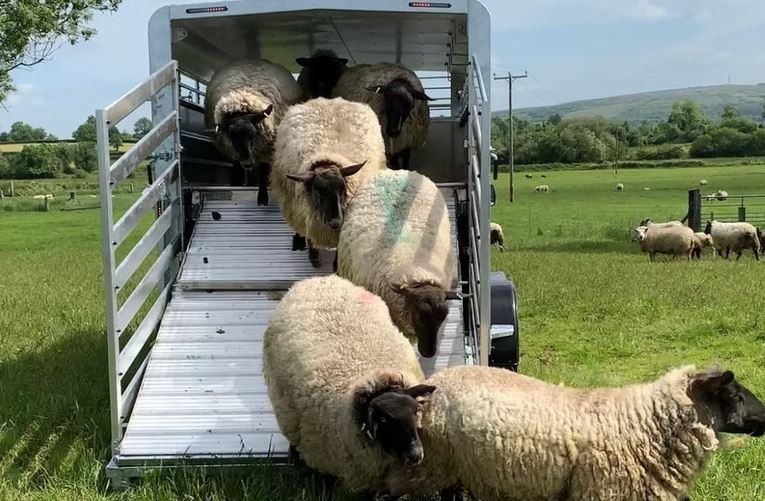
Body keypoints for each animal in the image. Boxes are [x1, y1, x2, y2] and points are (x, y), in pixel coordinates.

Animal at [204, 59, 303, 205]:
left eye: (252, 134)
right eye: (231, 136)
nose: (247, 163)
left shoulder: (267, 149)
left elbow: (263, 170)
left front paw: (262, 197)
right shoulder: (234, 151)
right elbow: (237, 166)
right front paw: (236, 184)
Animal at [270, 97, 387, 268]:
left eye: (342, 189)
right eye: (317, 192)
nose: (335, 222)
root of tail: (329, 100)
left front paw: (335, 264)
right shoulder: (307, 214)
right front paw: (314, 258)